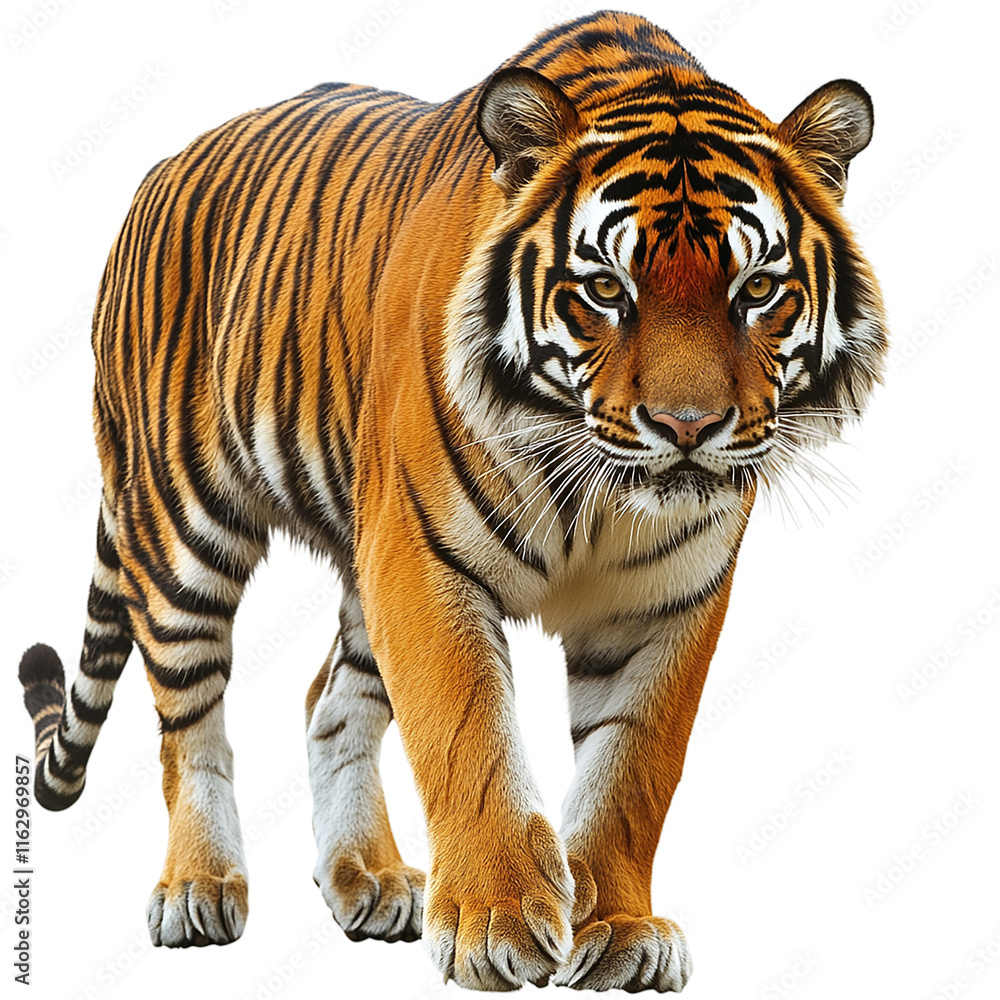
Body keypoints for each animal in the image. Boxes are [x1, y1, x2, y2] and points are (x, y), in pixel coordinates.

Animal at [18, 9, 886, 993]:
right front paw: (493, 920)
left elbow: (634, 768)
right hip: (181, 528)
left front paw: (618, 928)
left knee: (329, 697)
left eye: (758, 290)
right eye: (606, 289)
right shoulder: (422, 558)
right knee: (188, 719)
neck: (598, 486)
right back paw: (200, 887)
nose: (688, 426)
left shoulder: (669, 597)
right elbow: (466, 731)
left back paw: (369, 875)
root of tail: (160, 170)